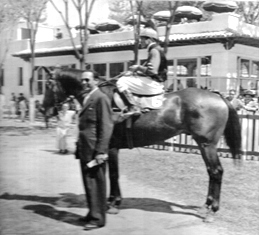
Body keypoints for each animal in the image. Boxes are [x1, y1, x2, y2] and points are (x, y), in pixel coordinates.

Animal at [43, 68, 243, 222]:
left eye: (49, 84)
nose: (45, 108)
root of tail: (215, 94)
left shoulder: (110, 147)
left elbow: (113, 175)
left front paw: (114, 202)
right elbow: (112, 174)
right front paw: (112, 201)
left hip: (207, 144)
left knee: (216, 172)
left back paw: (212, 209)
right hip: (204, 145)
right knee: (212, 172)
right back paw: (206, 206)